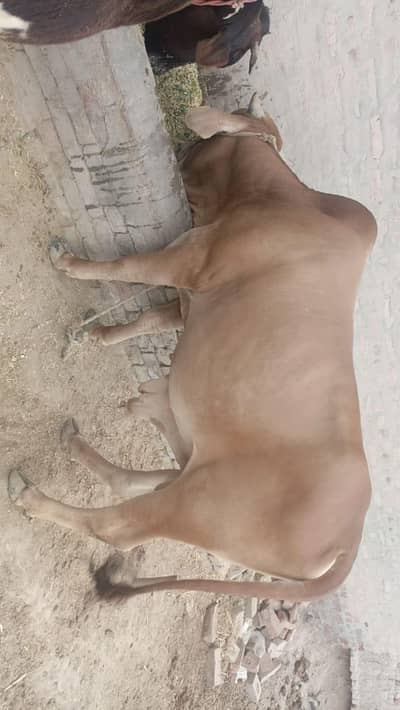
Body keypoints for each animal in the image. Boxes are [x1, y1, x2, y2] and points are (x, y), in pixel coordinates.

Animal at [8, 95, 377, 602]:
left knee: (118, 527)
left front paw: (69, 264)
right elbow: (150, 317)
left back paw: (32, 496)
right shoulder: (191, 297)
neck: (289, 201)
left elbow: (126, 266)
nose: (181, 151)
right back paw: (88, 437)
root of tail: (349, 543)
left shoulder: (187, 258)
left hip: (199, 505)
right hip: (191, 469)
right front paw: (97, 337)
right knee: (132, 481)